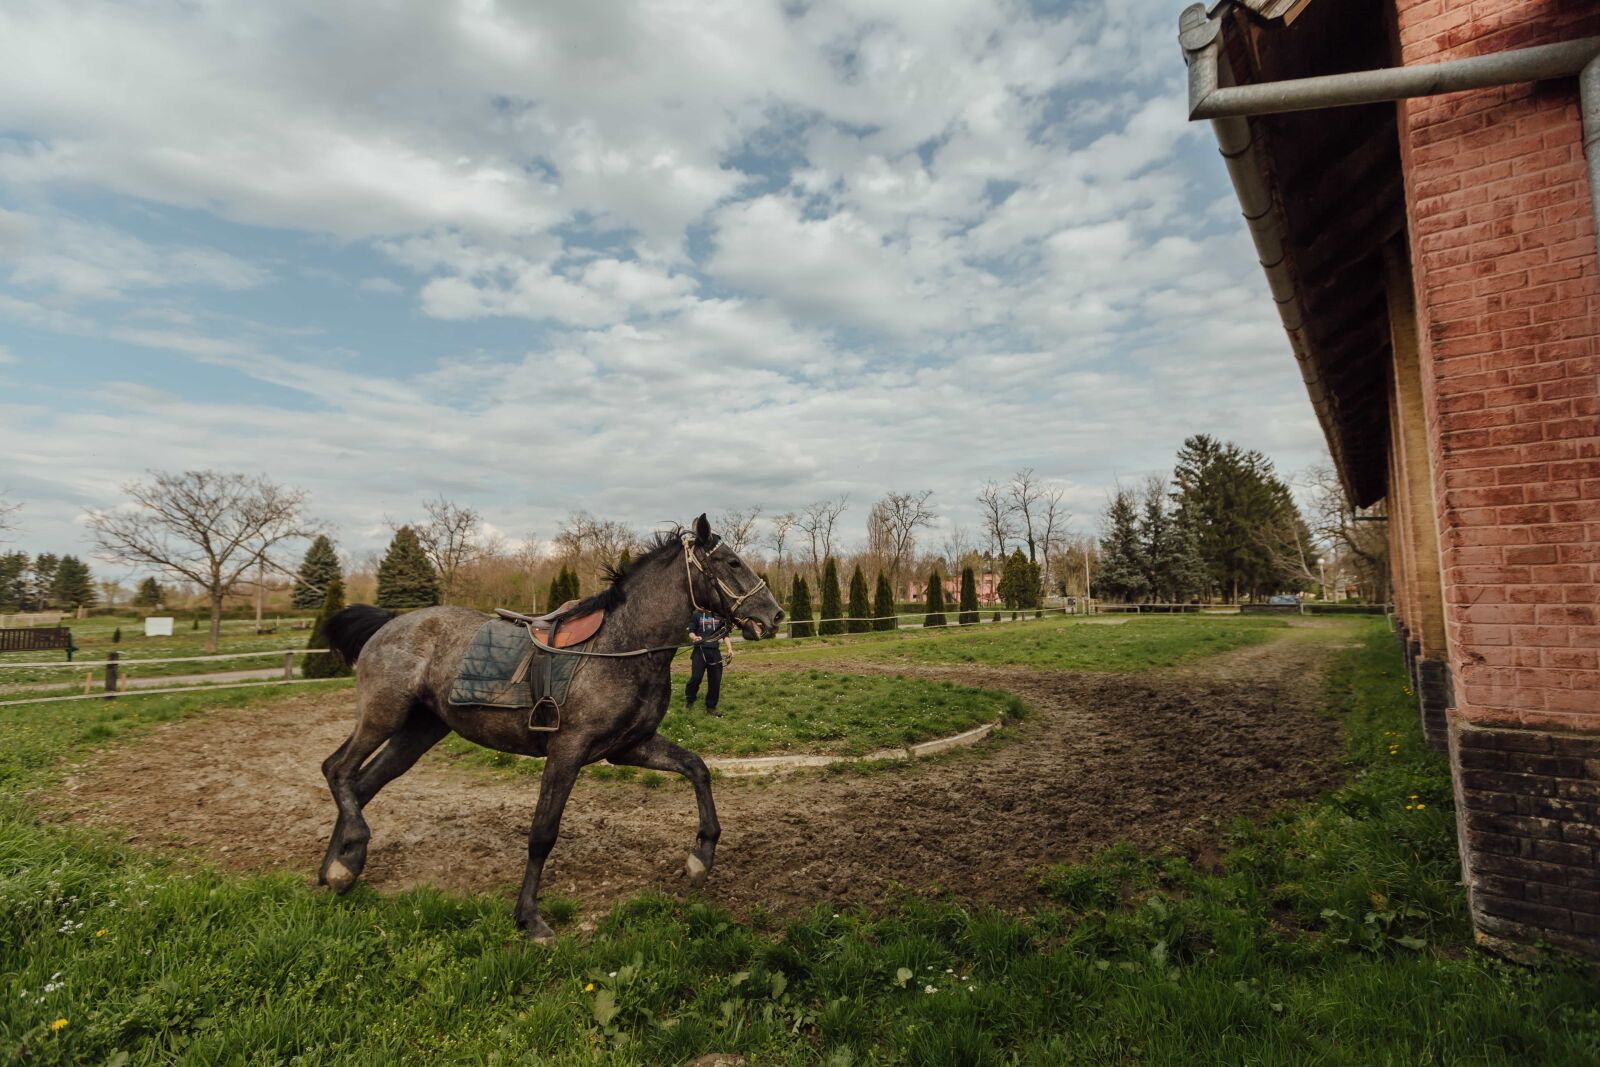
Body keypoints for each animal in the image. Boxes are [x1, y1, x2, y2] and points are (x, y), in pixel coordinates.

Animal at [316, 513, 785, 940]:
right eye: (731, 562)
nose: (776, 614)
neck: (623, 646)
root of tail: (390, 623)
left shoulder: (630, 746)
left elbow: (697, 768)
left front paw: (701, 857)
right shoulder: (568, 750)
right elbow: (543, 832)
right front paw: (528, 917)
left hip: (418, 732)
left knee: (362, 785)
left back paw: (337, 867)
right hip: (383, 715)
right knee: (337, 770)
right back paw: (343, 861)